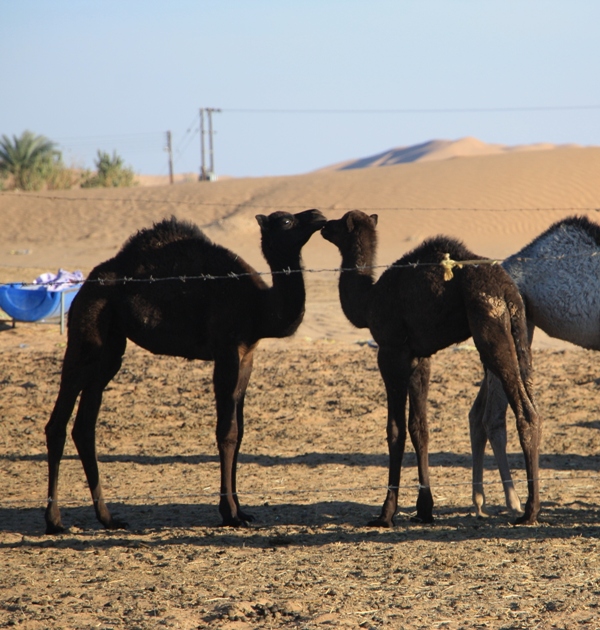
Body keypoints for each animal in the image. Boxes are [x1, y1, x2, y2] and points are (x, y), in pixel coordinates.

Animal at [44, 211, 326, 532]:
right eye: (287, 221)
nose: (318, 216)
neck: (259, 305)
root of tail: (86, 285)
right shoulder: (226, 351)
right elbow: (227, 431)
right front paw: (229, 514)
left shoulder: (247, 355)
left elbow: (240, 430)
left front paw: (242, 511)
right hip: (87, 331)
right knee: (59, 420)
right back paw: (54, 521)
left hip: (110, 347)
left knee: (84, 426)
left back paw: (108, 518)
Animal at [324, 211, 544, 528]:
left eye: (339, 224)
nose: (322, 225)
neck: (368, 301)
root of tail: (507, 290)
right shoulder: (419, 358)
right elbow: (420, 428)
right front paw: (424, 509)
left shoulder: (390, 351)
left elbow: (395, 430)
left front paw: (385, 514)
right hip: (520, 331)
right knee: (532, 406)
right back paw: (529, 507)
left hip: (490, 329)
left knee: (524, 411)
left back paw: (529, 511)